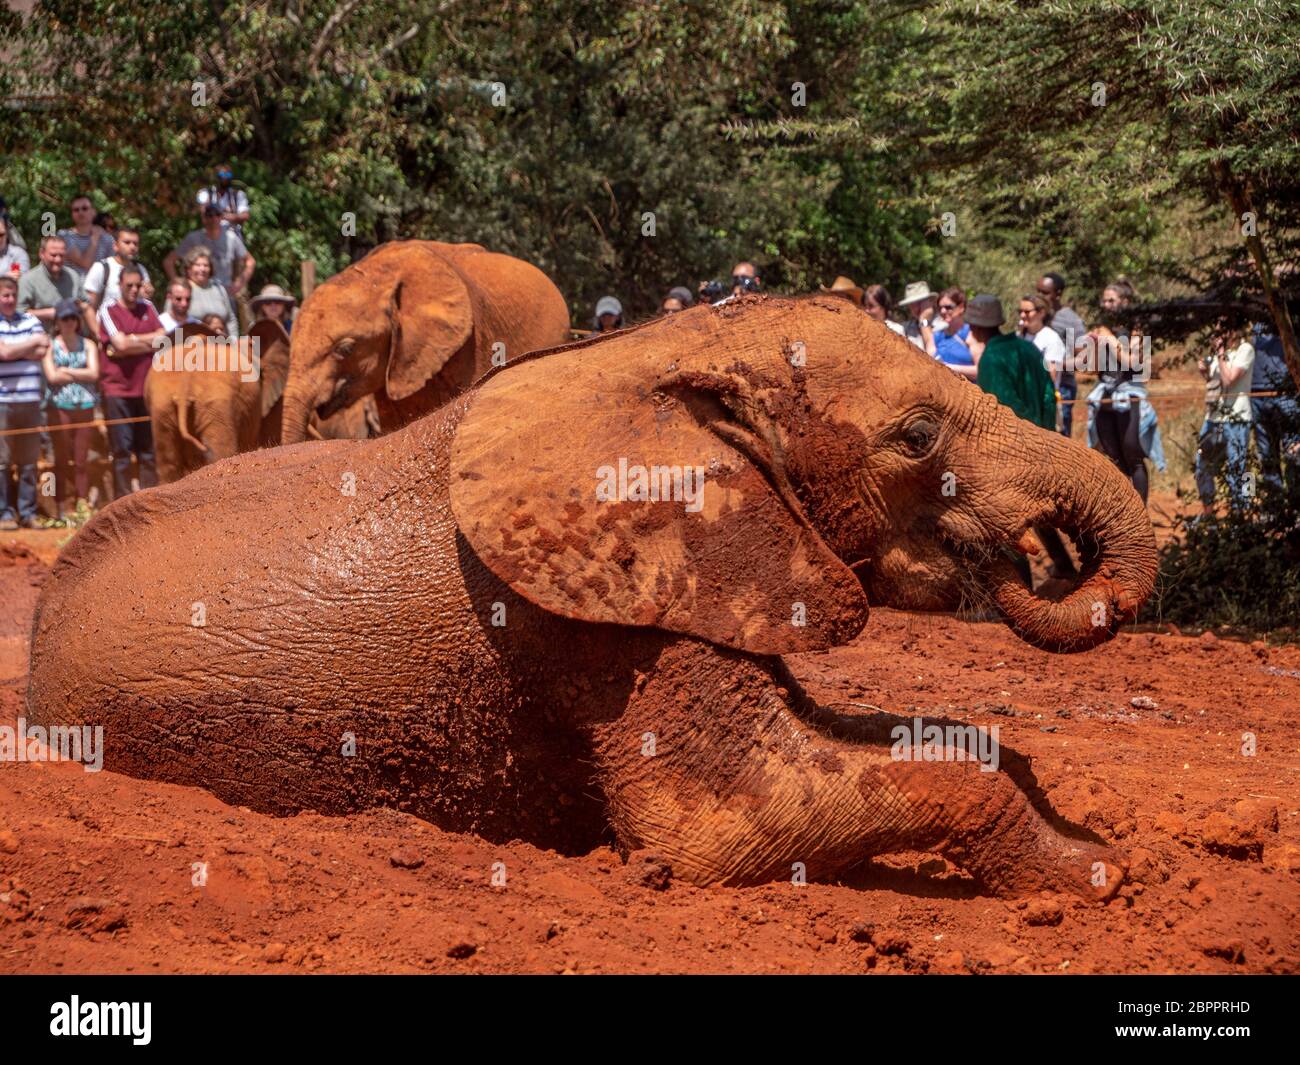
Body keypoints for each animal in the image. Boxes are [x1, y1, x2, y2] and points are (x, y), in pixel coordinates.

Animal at [28, 295, 1157, 898]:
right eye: (918, 438)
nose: (1036, 548)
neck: (660, 351)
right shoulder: (596, 625)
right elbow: (728, 828)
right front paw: (1096, 877)